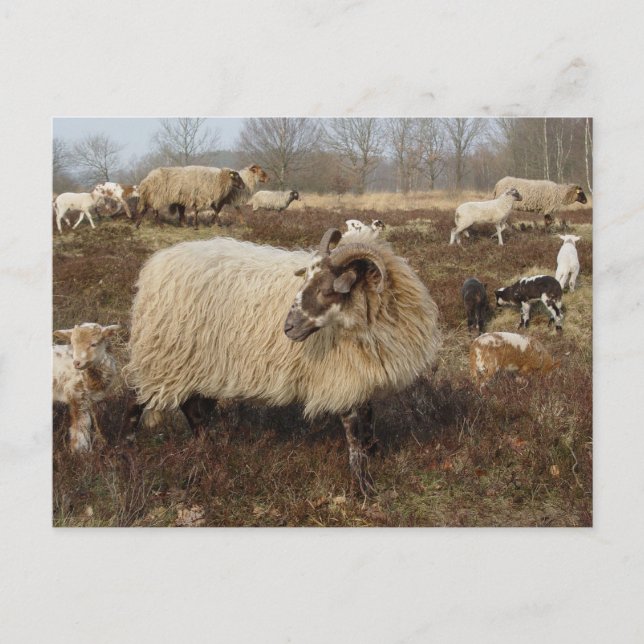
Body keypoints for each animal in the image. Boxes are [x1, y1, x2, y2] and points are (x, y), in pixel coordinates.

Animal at [53, 323, 121, 452]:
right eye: (73, 344)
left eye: (94, 344)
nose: (77, 363)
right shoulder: (75, 392)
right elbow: (81, 422)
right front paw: (80, 449)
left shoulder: (88, 398)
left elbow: (89, 420)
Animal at [125, 227, 440, 494]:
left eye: (328, 289)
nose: (287, 328)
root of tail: (158, 263)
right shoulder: (342, 376)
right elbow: (353, 431)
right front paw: (364, 484)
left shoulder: (363, 372)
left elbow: (368, 418)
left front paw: (375, 454)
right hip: (163, 354)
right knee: (140, 399)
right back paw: (128, 447)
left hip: (195, 364)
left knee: (193, 407)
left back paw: (208, 446)